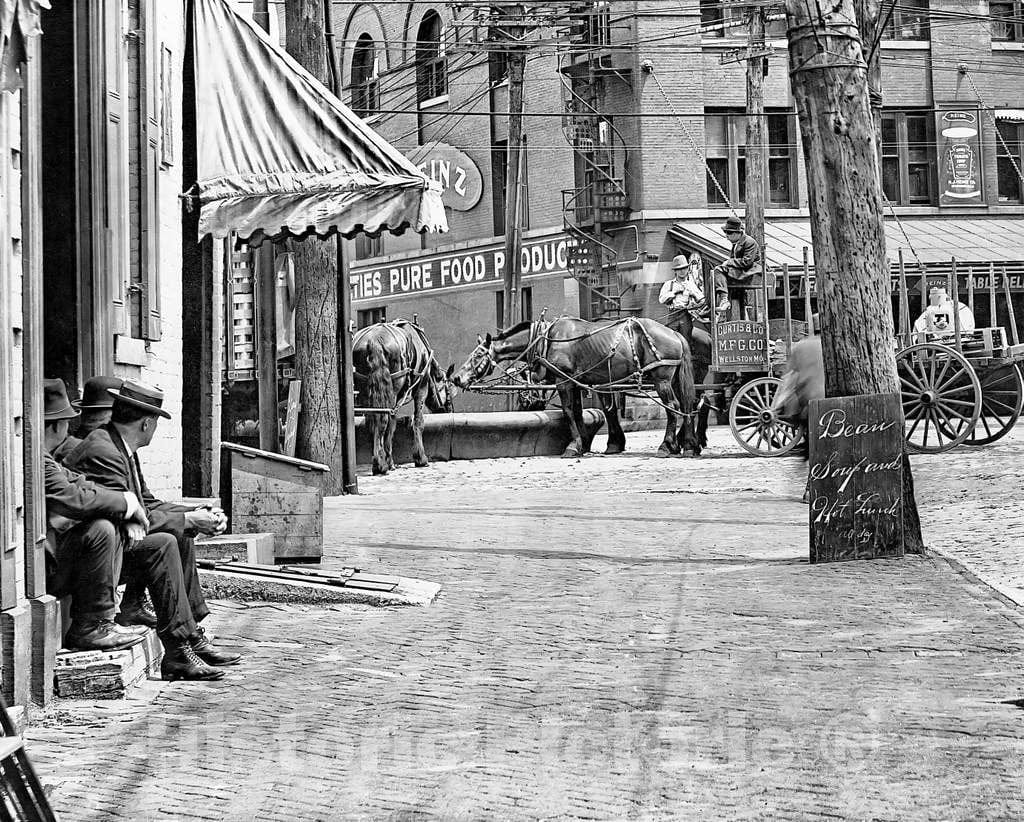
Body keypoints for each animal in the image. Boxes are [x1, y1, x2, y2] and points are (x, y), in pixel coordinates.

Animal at [354, 319, 454, 474]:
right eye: (448, 388)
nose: (449, 409)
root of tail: (374, 341)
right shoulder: (421, 388)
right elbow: (418, 421)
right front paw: (420, 458)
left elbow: (391, 426)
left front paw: (390, 460)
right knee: (382, 420)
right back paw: (380, 464)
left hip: (369, 392)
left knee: (375, 421)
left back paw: (379, 461)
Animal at [452, 315, 700, 456]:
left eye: (477, 355)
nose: (456, 378)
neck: (546, 340)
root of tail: (674, 332)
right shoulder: (576, 382)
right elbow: (579, 413)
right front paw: (584, 444)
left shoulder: (564, 382)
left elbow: (570, 411)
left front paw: (573, 446)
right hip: (674, 379)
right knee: (687, 405)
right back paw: (689, 446)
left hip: (662, 379)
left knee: (673, 407)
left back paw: (666, 446)